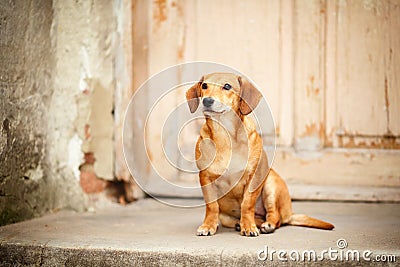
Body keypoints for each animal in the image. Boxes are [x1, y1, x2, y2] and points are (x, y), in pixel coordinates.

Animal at [187, 73, 334, 237]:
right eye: (204, 86)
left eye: (227, 86)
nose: (207, 101)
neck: (225, 135)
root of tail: (289, 214)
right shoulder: (205, 177)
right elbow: (212, 206)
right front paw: (208, 225)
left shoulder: (255, 177)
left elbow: (247, 204)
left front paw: (248, 227)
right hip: (226, 217)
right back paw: (243, 223)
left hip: (270, 185)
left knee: (276, 216)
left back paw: (267, 225)